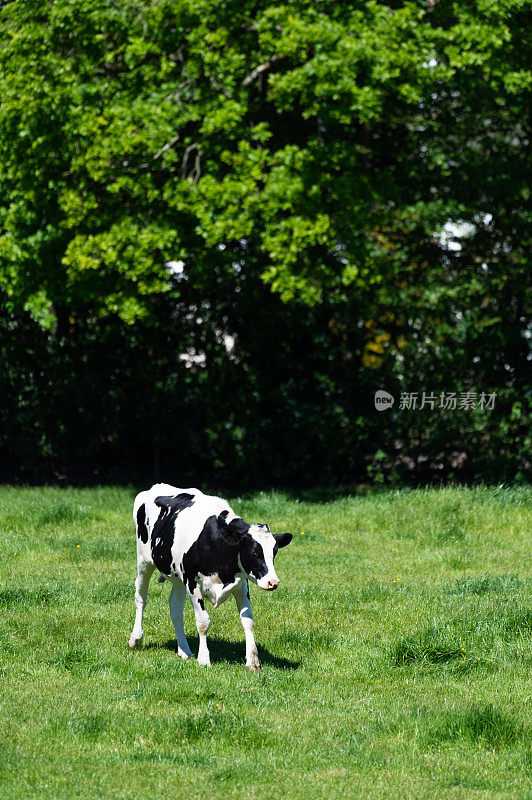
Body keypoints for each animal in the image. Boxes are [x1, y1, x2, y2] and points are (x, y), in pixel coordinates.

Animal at [129, 484, 294, 672]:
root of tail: (154, 487)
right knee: (141, 597)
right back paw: (136, 639)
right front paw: (204, 659)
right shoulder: (192, 582)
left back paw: (184, 650)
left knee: (175, 608)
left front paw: (253, 661)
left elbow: (248, 620)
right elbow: (203, 621)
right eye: (254, 552)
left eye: (274, 552)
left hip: (177, 576)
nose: (273, 582)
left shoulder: (241, 584)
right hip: (144, 560)